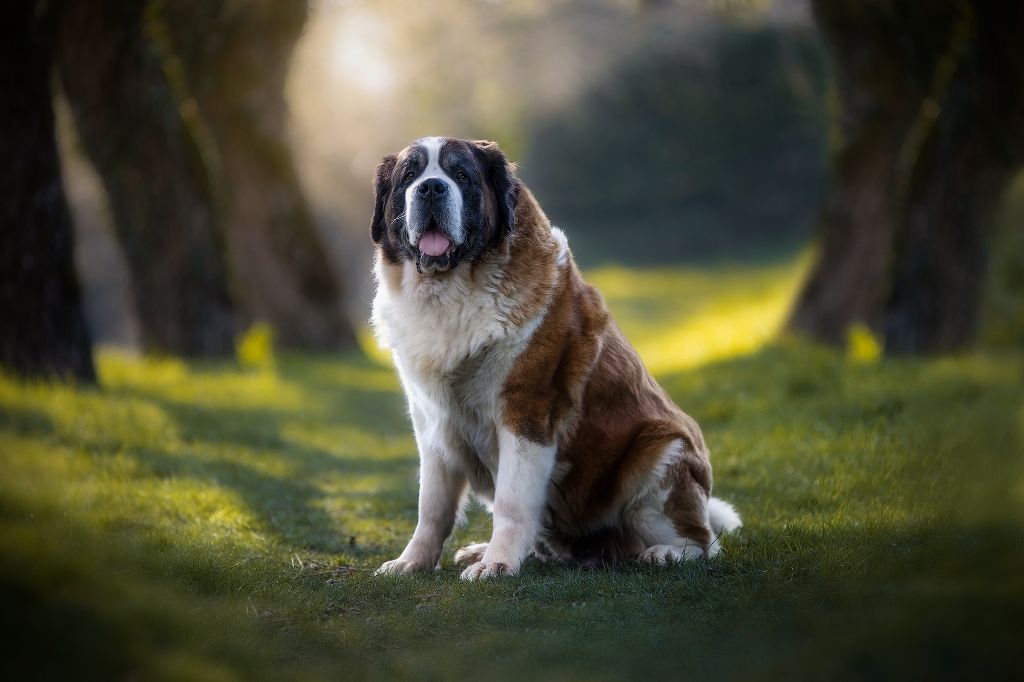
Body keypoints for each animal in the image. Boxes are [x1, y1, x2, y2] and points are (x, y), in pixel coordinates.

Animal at [372, 137, 741, 577]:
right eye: (409, 176)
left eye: (460, 174)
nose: (430, 188)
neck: (452, 292)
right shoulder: (432, 423)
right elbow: (432, 507)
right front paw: (412, 562)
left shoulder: (527, 411)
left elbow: (512, 500)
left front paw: (497, 565)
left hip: (660, 454)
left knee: (704, 541)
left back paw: (666, 552)